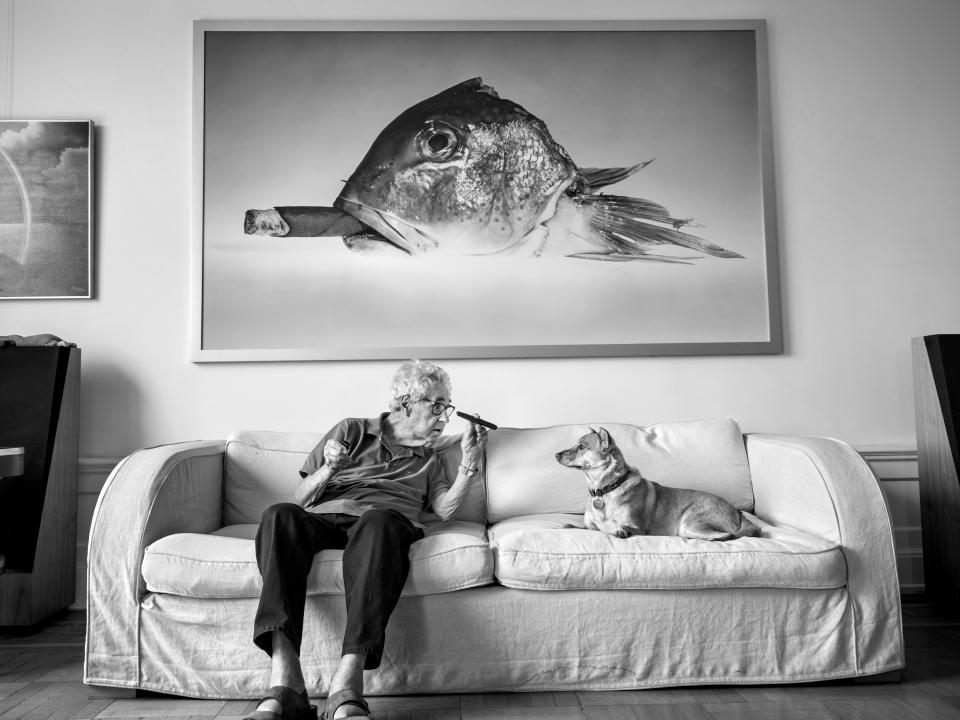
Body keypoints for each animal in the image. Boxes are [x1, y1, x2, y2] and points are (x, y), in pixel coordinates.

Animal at [552, 428, 760, 540]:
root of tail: (738, 513)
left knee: (726, 536)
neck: (605, 490)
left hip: (689, 522)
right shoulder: (588, 526)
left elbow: (615, 527)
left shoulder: (637, 527)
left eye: (581, 447)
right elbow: (574, 526)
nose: (556, 454)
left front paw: (617, 529)